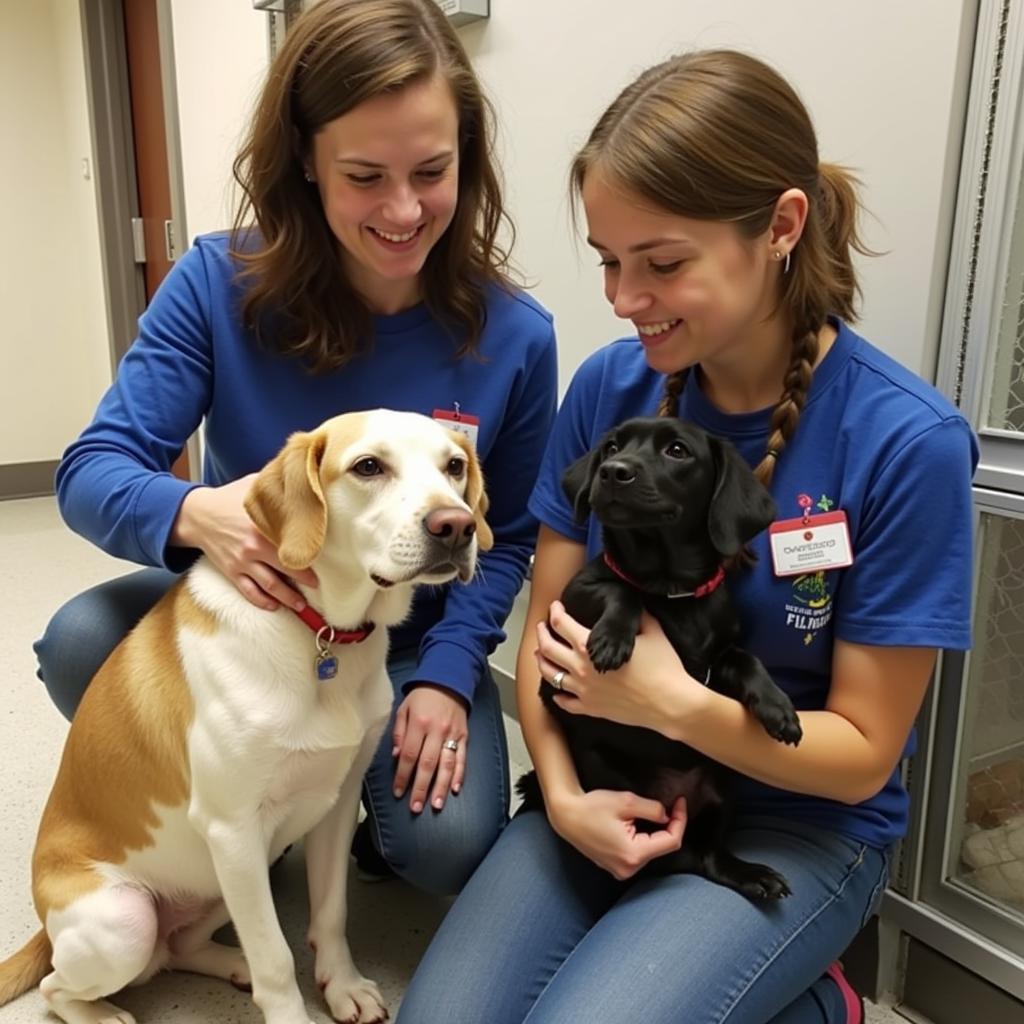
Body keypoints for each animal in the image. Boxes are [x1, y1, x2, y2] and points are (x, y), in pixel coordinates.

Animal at [0, 407, 491, 1024]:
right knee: (57, 987)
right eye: (368, 467)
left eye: (454, 466)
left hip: (223, 878)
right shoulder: (232, 829)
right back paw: (106, 1013)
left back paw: (232, 967)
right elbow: (276, 957)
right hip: (128, 919)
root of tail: (46, 925)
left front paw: (342, 985)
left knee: (178, 947)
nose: (457, 526)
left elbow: (329, 914)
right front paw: (291, 1010)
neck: (319, 631)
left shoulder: (333, 804)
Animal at [520, 415, 798, 897]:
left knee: (706, 855)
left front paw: (778, 708)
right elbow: (622, 588)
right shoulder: (575, 600)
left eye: (677, 451)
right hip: (608, 774)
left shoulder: (717, 658)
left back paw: (750, 874)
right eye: (612, 445)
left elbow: (746, 659)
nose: (612, 471)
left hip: (722, 781)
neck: (673, 589)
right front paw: (612, 638)